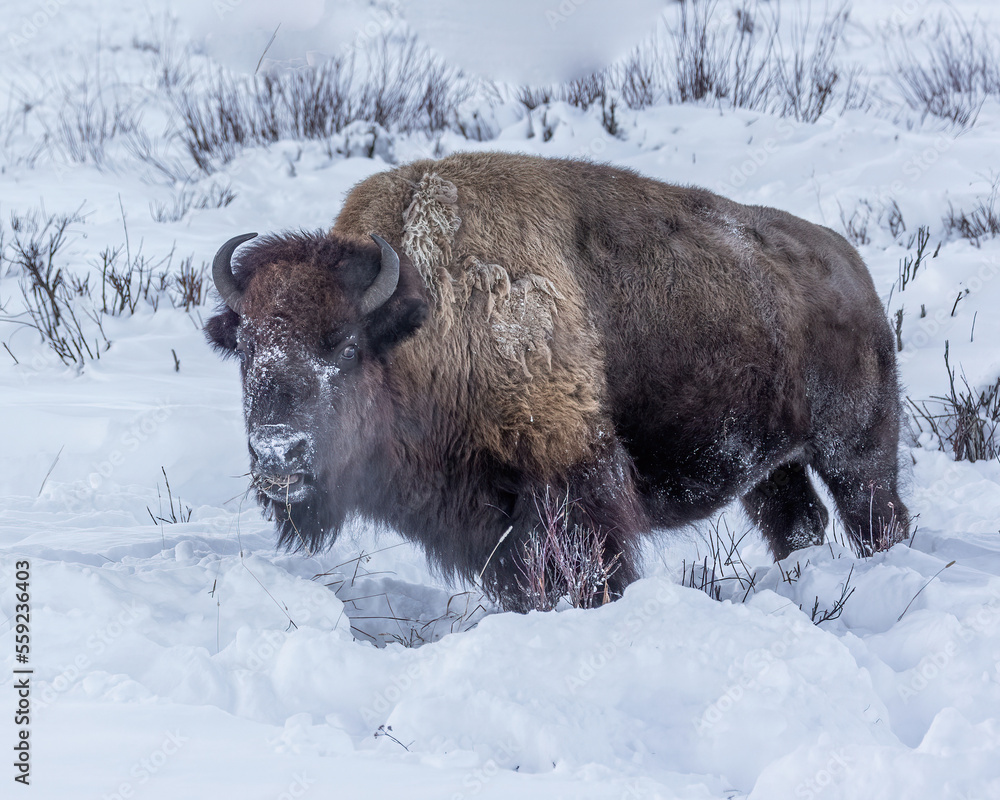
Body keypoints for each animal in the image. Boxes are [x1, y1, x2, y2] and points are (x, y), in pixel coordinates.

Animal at [206, 152, 908, 611]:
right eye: (245, 347)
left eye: (346, 346)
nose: (278, 454)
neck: (425, 317)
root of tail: (850, 266)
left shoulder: (571, 477)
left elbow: (593, 564)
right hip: (771, 468)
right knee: (797, 520)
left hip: (855, 450)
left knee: (877, 516)